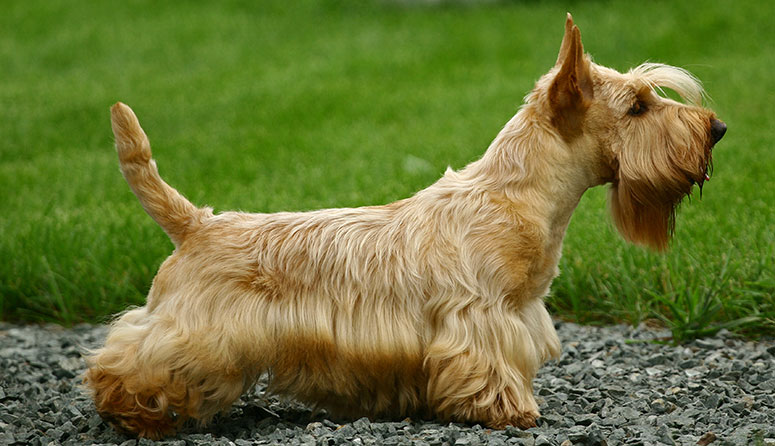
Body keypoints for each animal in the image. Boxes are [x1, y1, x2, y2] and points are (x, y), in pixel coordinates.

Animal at [85, 14, 728, 440]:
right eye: (638, 106)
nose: (717, 128)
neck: (514, 197)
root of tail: (195, 224)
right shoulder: (480, 317)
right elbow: (490, 368)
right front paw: (511, 410)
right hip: (194, 334)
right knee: (126, 358)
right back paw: (135, 409)